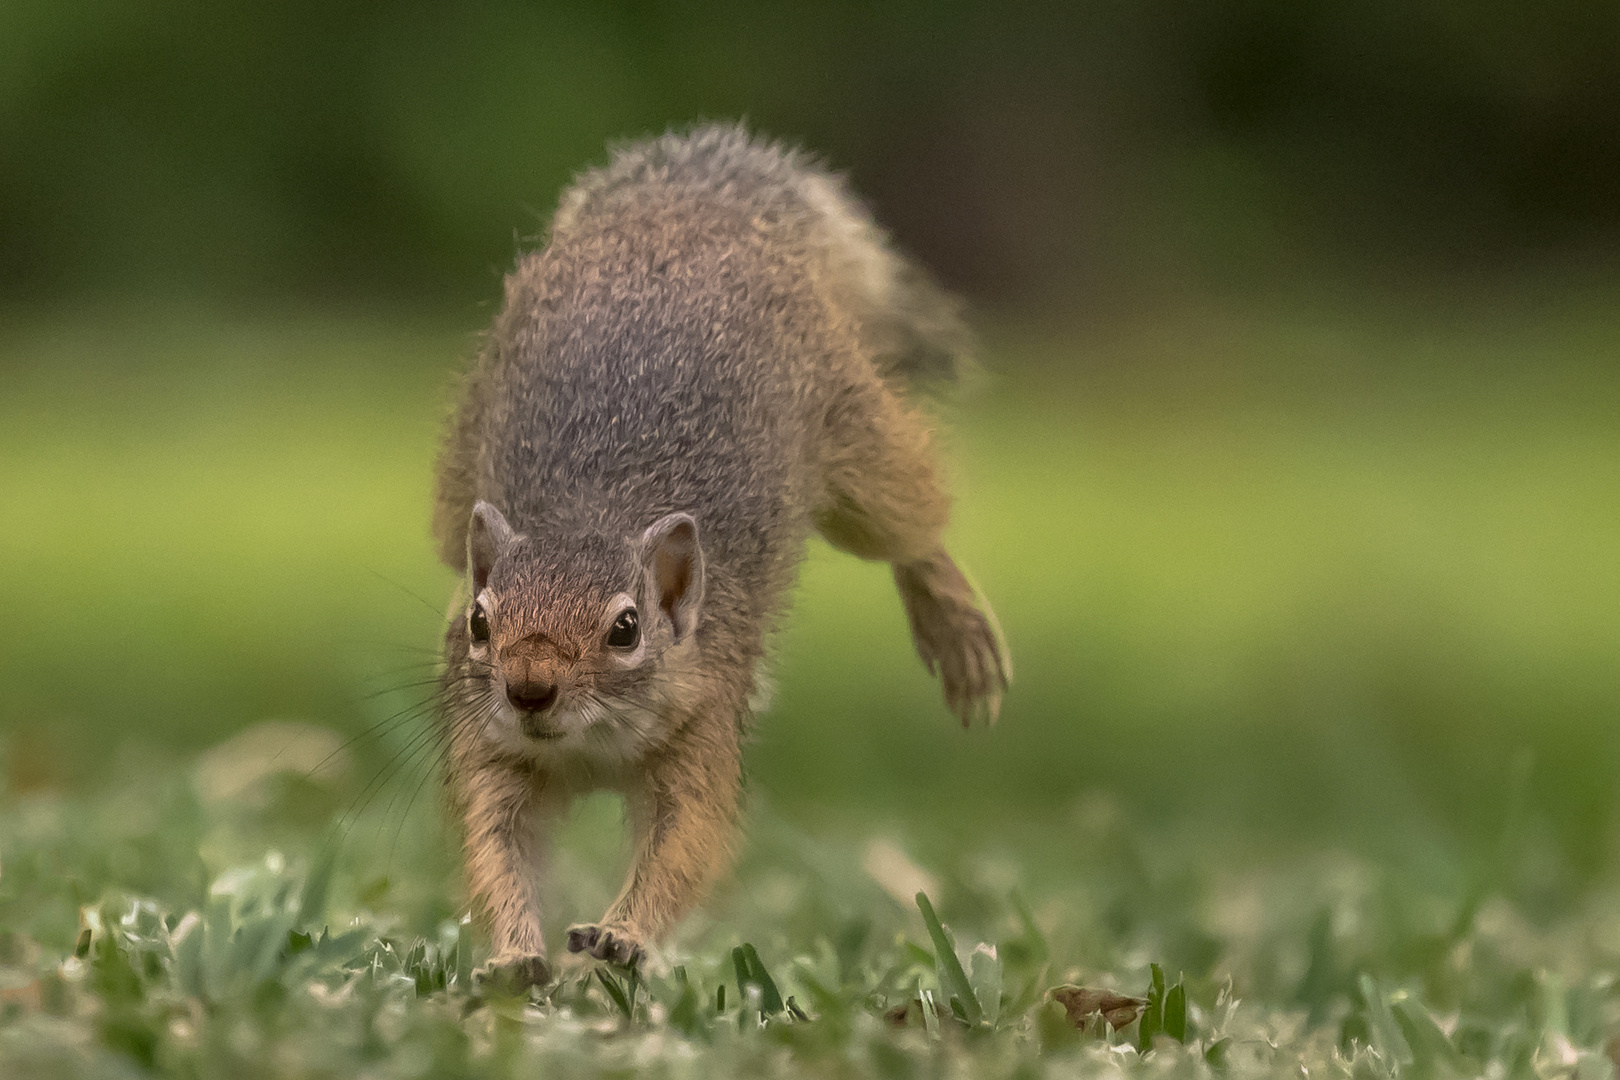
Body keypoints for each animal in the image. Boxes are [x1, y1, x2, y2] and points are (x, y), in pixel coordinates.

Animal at [430, 122, 1010, 990]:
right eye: (480, 621)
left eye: (627, 628)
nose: (528, 688)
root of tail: (695, 213)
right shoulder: (489, 748)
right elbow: (496, 845)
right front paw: (513, 954)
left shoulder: (703, 728)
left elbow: (685, 845)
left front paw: (623, 936)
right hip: (458, 462)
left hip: (856, 434)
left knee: (910, 522)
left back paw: (956, 626)